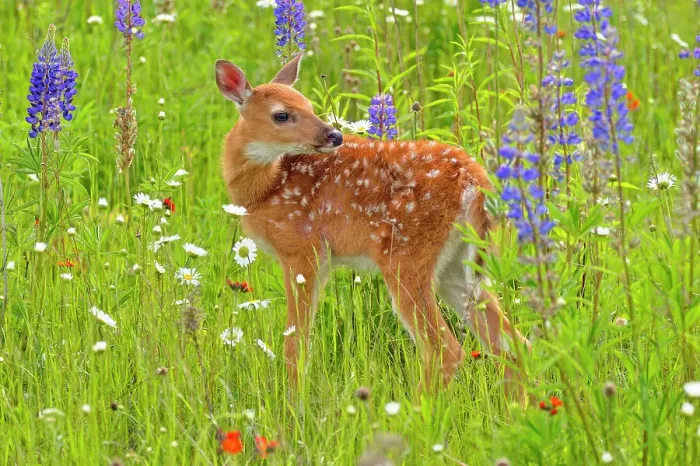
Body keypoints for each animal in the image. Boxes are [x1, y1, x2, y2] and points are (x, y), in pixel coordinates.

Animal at [215, 54, 530, 394]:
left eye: (309, 105)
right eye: (282, 115)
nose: (335, 136)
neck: (266, 186)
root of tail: (476, 180)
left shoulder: (301, 247)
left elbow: (295, 344)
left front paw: (293, 400)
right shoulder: (320, 259)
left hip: (406, 255)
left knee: (446, 349)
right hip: (457, 264)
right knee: (514, 345)